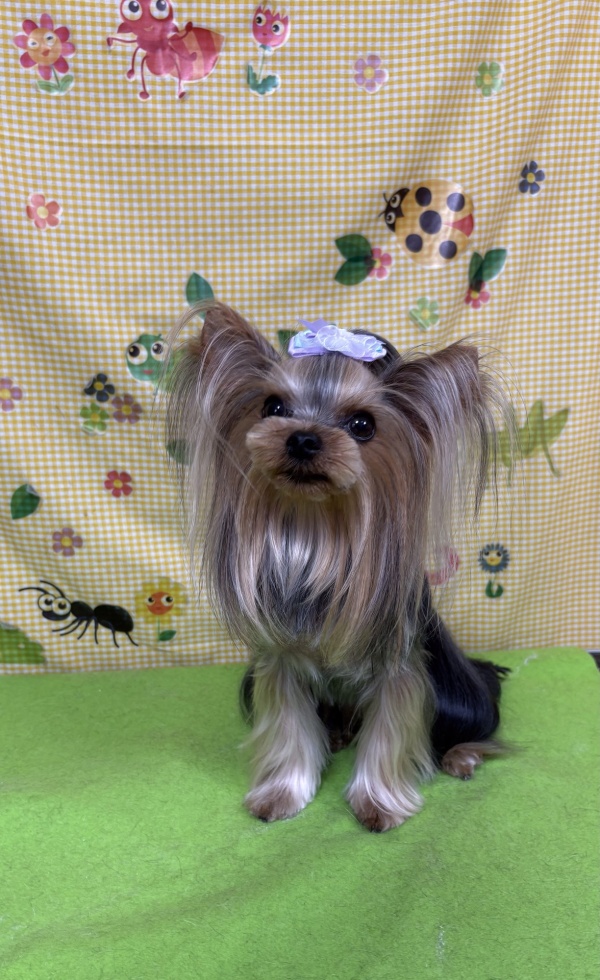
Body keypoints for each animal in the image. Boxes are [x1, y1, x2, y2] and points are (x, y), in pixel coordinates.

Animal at [166, 302, 510, 832]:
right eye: (273, 407)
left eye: (363, 425)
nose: (304, 439)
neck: (318, 527)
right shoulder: (279, 658)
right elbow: (286, 723)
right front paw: (281, 794)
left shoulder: (399, 663)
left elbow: (391, 729)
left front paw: (378, 803)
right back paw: (336, 735)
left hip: (457, 689)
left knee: (473, 723)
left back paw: (460, 755)